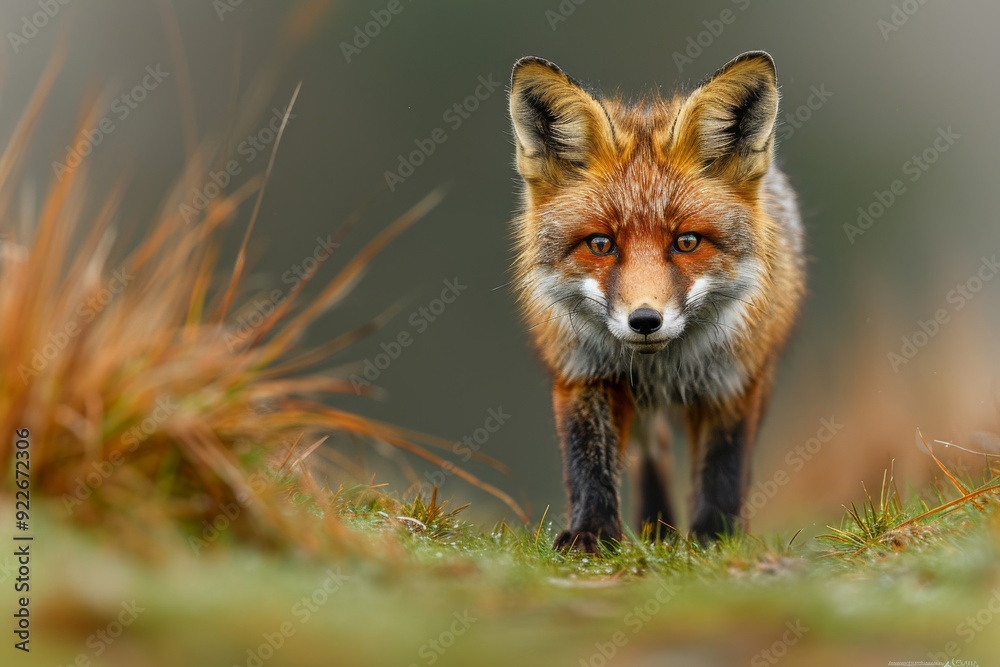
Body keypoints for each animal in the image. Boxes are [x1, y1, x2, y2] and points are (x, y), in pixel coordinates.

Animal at [508, 51, 806, 553]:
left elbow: (723, 468)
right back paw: (657, 530)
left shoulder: (734, 380)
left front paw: (715, 538)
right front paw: (591, 535)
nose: (645, 320)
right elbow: (588, 462)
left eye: (686, 242)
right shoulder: (582, 372)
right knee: (653, 452)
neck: (661, 368)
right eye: (601, 244)